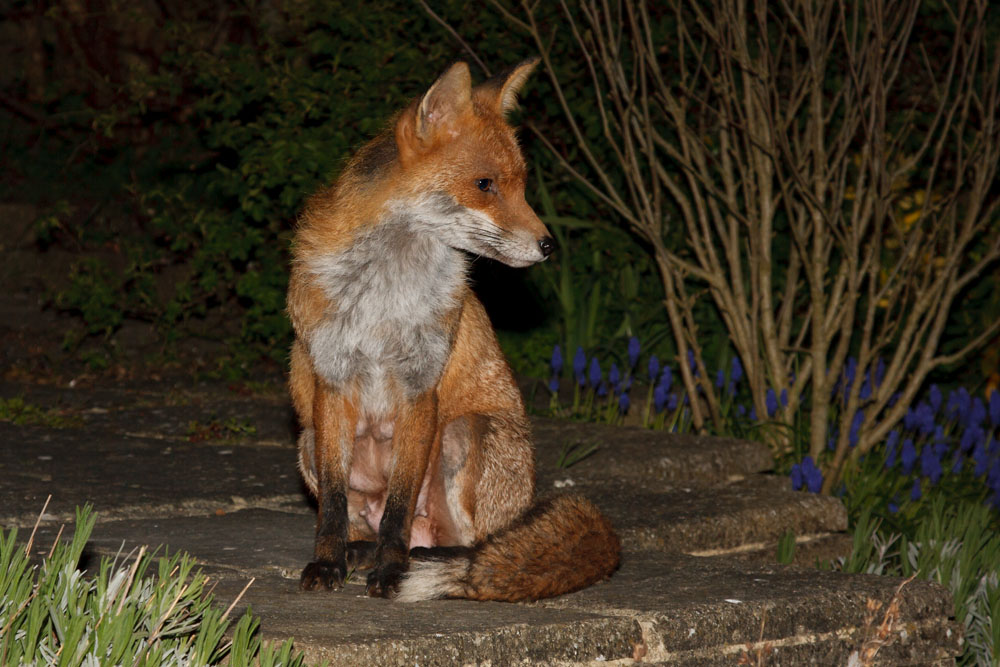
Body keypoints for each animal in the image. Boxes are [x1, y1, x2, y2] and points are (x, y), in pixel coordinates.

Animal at [286, 58, 620, 602]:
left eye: (523, 184)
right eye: (485, 184)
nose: (549, 246)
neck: (386, 296)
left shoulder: (421, 387)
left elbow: (399, 507)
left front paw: (391, 571)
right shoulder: (332, 382)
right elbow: (333, 508)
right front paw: (328, 563)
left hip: (466, 434)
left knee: (475, 545)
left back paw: (429, 561)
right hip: (307, 442)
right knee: (373, 524)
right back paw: (362, 551)